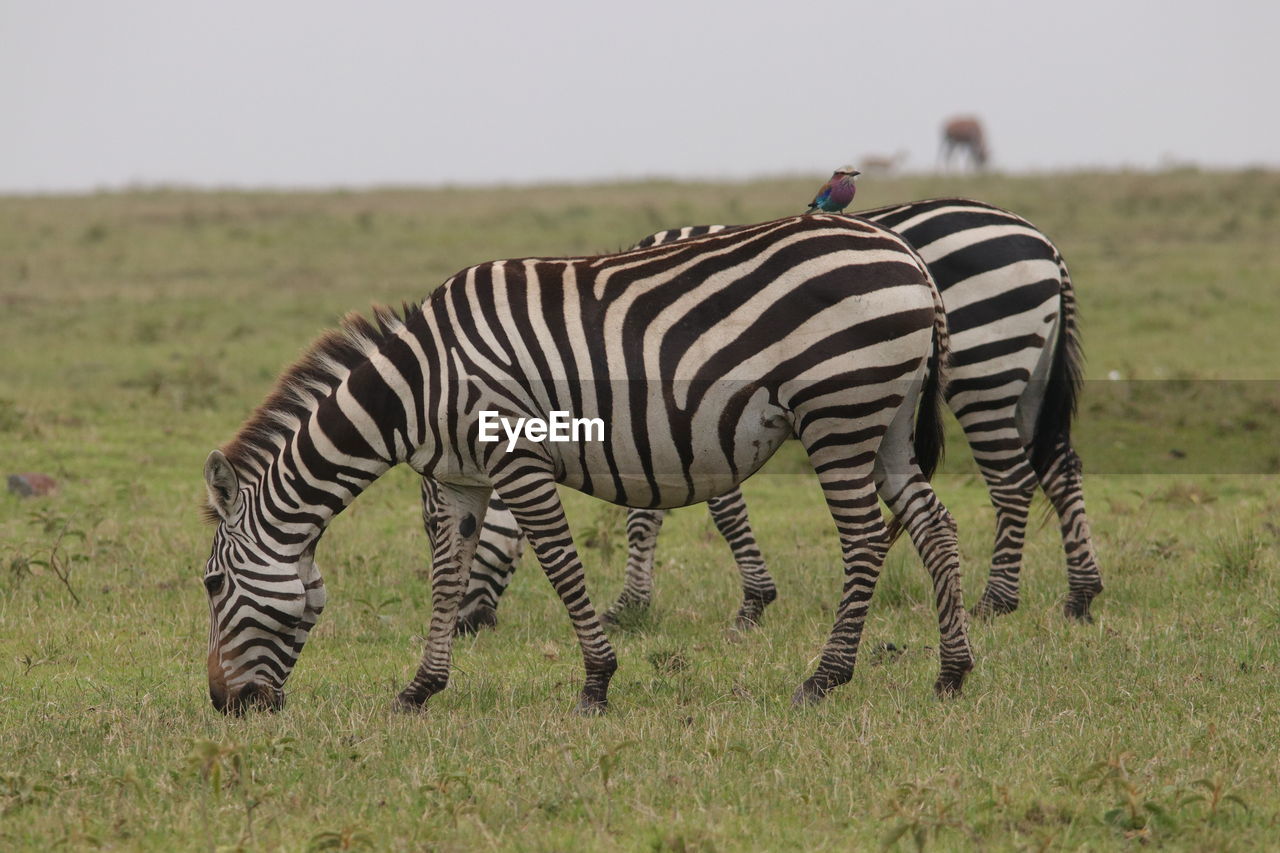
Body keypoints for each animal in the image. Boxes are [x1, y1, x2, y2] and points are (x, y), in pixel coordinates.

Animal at [204, 211, 972, 712]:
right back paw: (953, 673)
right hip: (888, 422)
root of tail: (909, 259)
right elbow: (446, 582)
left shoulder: (516, 458)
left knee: (866, 538)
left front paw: (597, 683)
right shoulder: (459, 482)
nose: (223, 705)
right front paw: (420, 688)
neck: (417, 385)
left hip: (839, 410)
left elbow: (560, 565)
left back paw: (824, 678)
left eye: (211, 584)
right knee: (934, 525)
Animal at [455, 195, 1105, 627]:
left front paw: (732, 603)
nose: (464, 625)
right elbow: (662, 508)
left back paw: (998, 601)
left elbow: (700, 512)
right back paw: (1080, 595)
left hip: (984, 368)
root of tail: (1043, 242)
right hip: (1029, 374)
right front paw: (646, 601)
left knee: (1012, 480)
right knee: (1059, 466)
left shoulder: (684, 403)